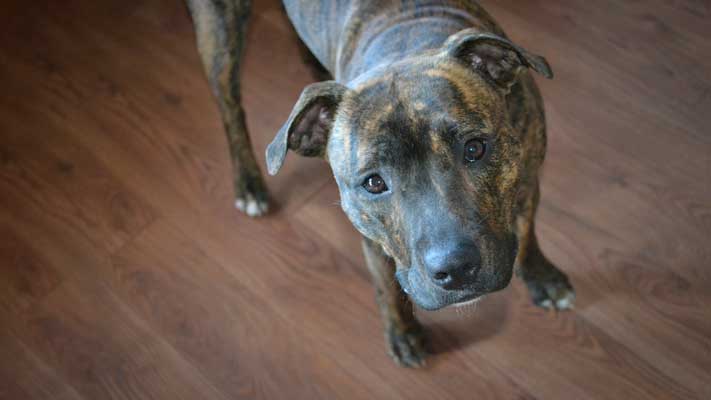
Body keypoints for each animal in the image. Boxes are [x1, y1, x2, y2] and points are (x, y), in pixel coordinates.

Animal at [186, 0, 576, 368]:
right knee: (229, 104)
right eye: (374, 183)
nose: (455, 268)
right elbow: (387, 283)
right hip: (220, 31)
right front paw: (402, 332)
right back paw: (249, 183)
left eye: (475, 148)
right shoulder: (372, 236)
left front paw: (542, 278)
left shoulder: (527, 180)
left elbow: (526, 233)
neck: (403, 43)